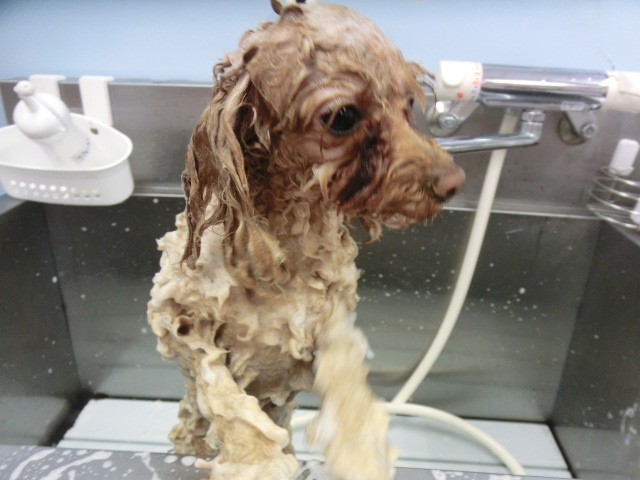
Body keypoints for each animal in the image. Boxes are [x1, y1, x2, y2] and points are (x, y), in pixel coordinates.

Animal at [147, 2, 464, 479]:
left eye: (408, 103)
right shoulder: (177, 318)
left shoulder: (331, 317)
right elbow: (224, 395)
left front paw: (360, 453)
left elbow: (346, 380)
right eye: (344, 116)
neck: (285, 244)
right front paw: (257, 461)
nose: (452, 182)